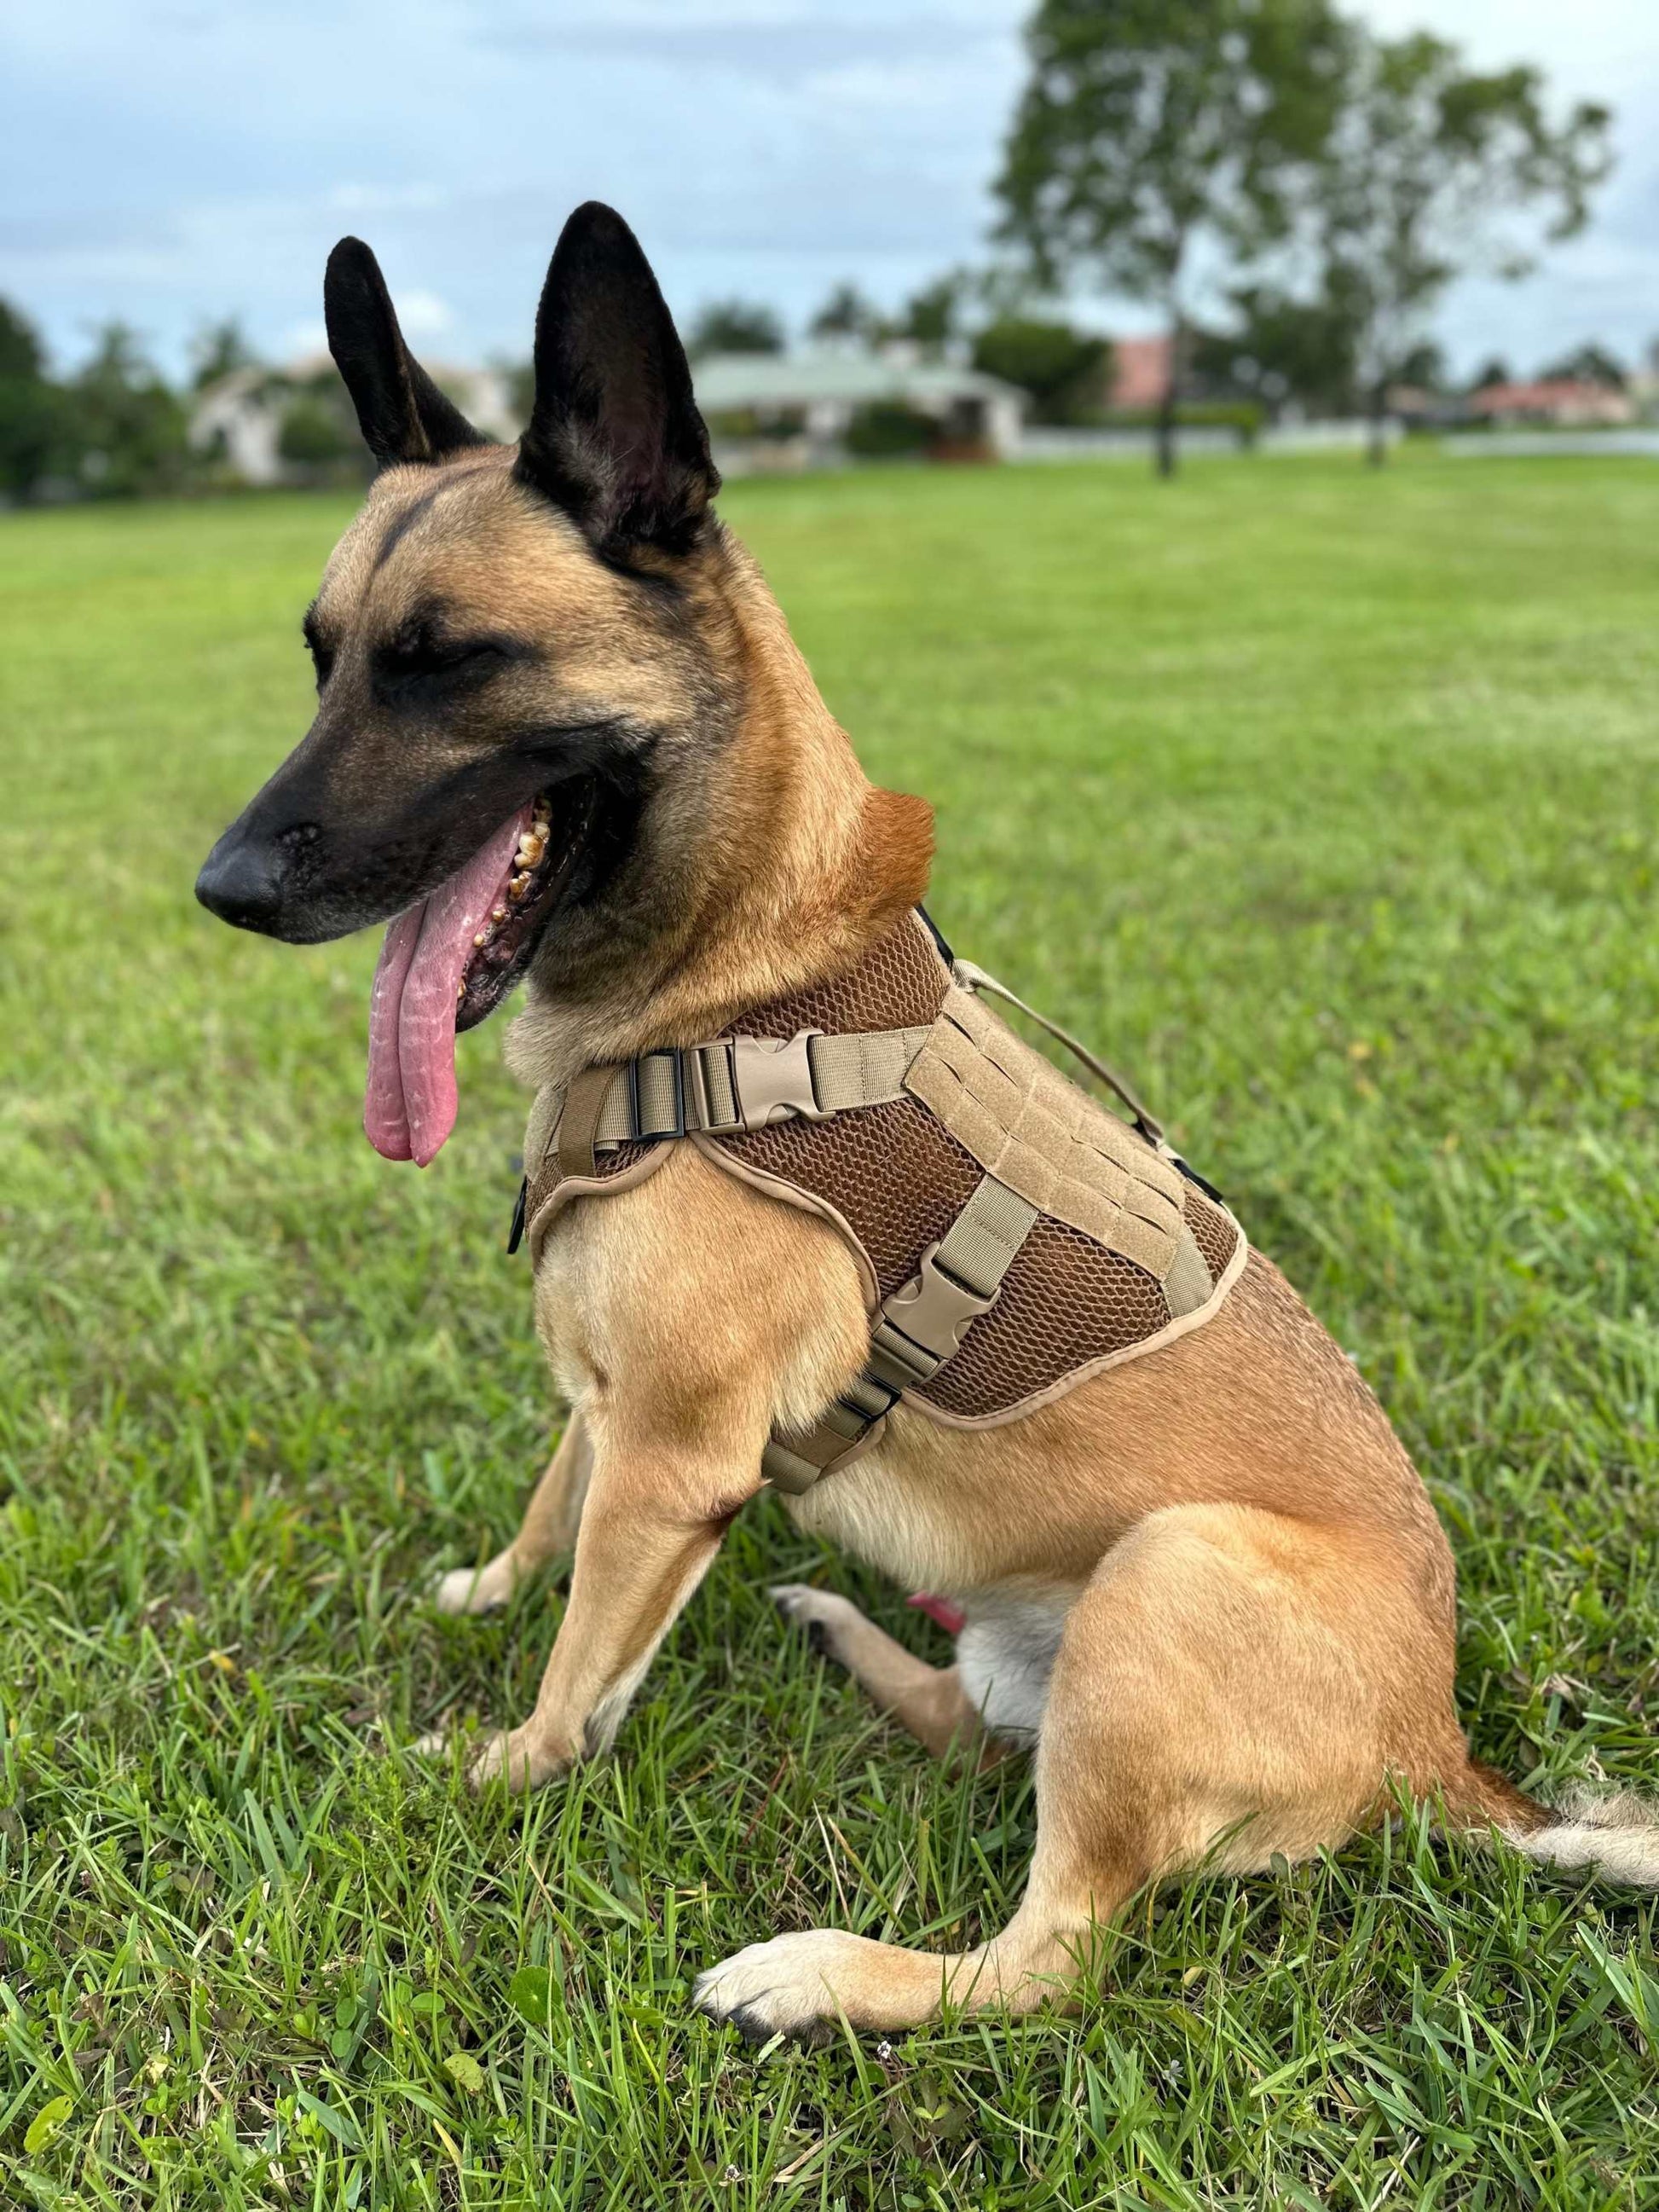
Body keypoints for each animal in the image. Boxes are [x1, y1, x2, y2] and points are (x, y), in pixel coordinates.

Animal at [198, 203, 1659, 2035]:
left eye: (450, 661)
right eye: (325, 660)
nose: (224, 887)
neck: (732, 987)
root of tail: (1440, 1753)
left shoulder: (670, 1456)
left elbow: (576, 1672)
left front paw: (485, 1769)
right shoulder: (612, 1406)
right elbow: (548, 1510)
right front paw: (484, 1590)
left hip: (1163, 1577)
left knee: (1043, 1956)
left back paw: (817, 1970)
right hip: (1044, 1634)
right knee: (977, 1740)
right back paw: (841, 1635)